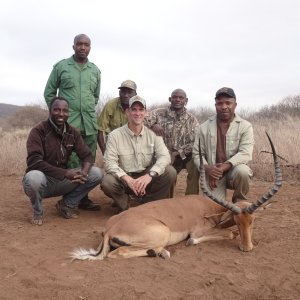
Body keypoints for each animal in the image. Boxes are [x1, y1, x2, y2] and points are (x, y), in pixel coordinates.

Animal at [70, 132, 282, 262]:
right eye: (237, 221)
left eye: (253, 220)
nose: (247, 248)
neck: (209, 207)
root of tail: (110, 229)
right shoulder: (198, 231)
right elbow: (226, 234)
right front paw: (191, 242)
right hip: (161, 233)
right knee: (118, 253)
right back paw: (162, 253)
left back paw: (160, 252)